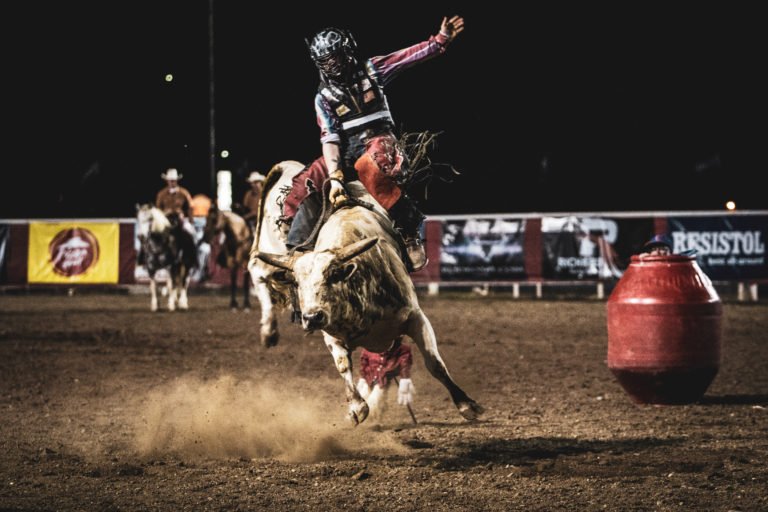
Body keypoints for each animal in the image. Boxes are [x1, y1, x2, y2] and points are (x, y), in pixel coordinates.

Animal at [249, 160, 484, 424]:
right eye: (297, 283)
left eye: (332, 275)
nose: (311, 317)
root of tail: (287, 167)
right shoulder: (331, 333)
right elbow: (343, 365)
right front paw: (357, 406)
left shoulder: (415, 316)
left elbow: (434, 362)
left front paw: (466, 404)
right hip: (269, 243)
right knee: (257, 268)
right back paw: (268, 331)